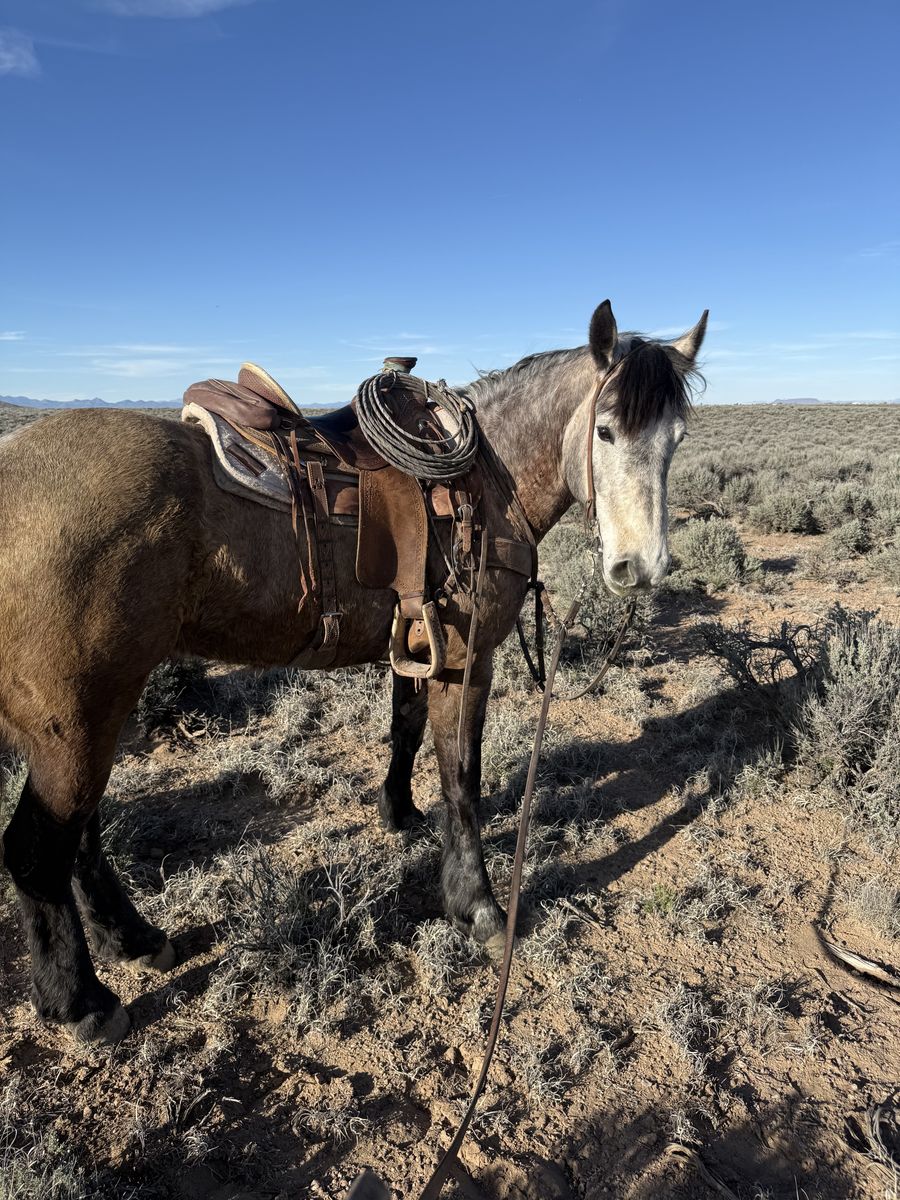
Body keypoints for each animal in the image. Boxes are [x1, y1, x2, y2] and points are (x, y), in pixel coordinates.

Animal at [0, 299, 706, 1045]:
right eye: (605, 429)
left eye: (676, 439)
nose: (642, 568)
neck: (487, 479)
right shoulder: (467, 658)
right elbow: (462, 775)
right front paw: (478, 907)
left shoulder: (418, 642)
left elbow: (406, 730)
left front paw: (399, 812)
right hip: (75, 719)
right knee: (36, 849)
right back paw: (81, 1001)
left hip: (103, 703)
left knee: (81, 837)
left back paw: (134, 940)